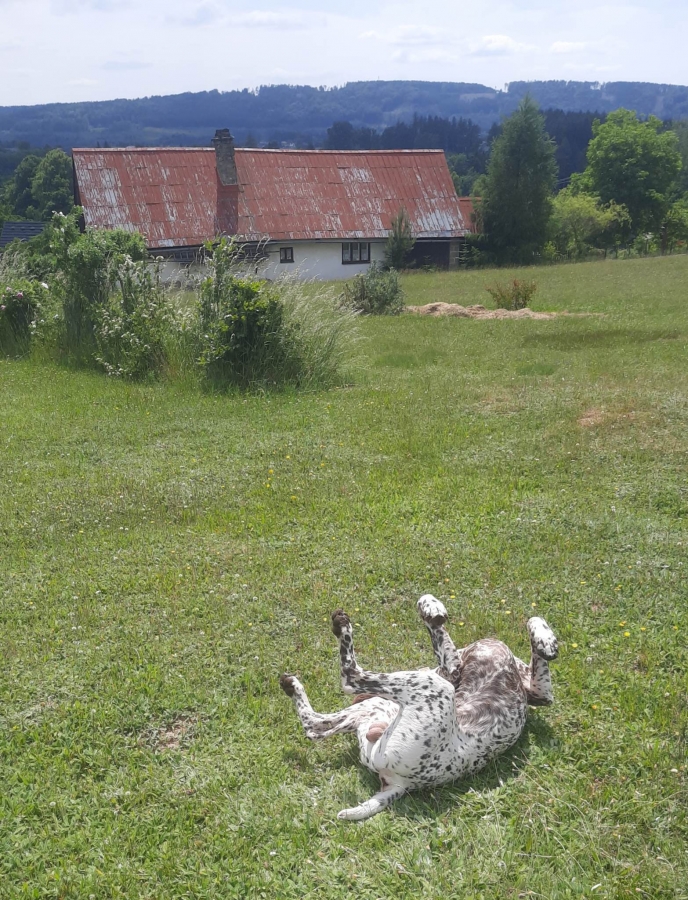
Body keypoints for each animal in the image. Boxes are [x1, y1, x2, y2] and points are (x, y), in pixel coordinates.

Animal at [280, 594, 558, 820]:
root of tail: (401, 785)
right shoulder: (456, 671)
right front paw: (432, 606)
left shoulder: (454, 672)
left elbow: (533, 622)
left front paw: (546, 639)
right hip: (407, 697)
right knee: (318, 721)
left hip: (419, 691)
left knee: (344, 685)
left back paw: (336, 634)